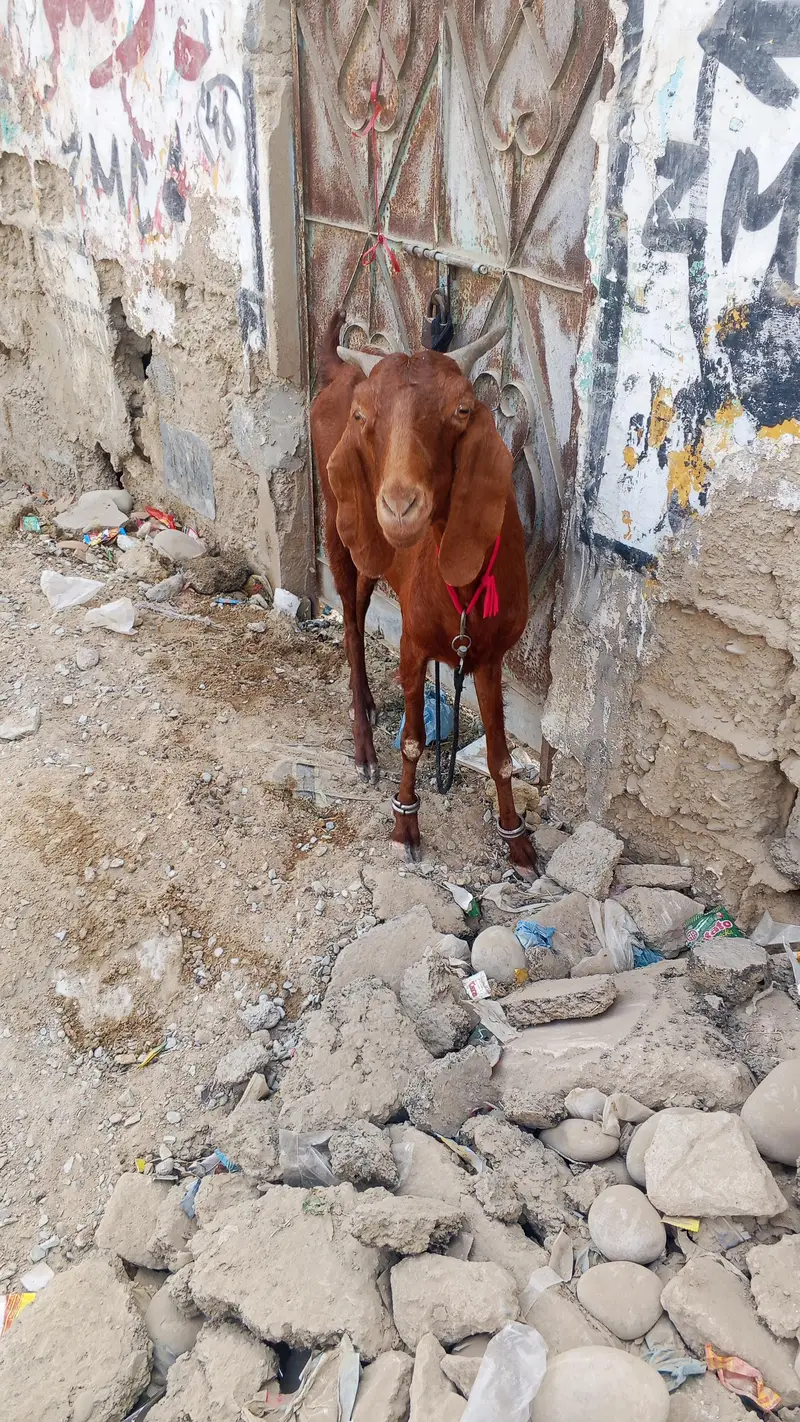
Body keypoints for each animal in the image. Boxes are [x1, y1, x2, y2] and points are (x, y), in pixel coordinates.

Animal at [310, 311, 538, 877]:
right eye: (363, 415)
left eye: (462, 409)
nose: (398, 507)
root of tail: (338, 371)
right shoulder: (412, 644)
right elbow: (413, 742)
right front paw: (405, 826)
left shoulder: (489, 656)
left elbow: (501, 756)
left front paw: (516, 840)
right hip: (340, 522)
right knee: (351, 622)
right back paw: (364, 748)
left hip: (374, 554)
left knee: (361, 602)